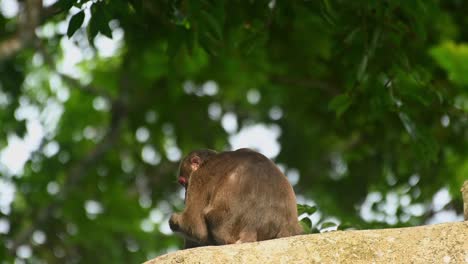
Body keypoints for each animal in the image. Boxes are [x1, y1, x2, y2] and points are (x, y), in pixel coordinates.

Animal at [168, 148, 304, 248]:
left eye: (184, 183)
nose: (185, 196)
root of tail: (250, 231)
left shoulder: (199, 176)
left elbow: (195, 226)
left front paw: (175, 220)